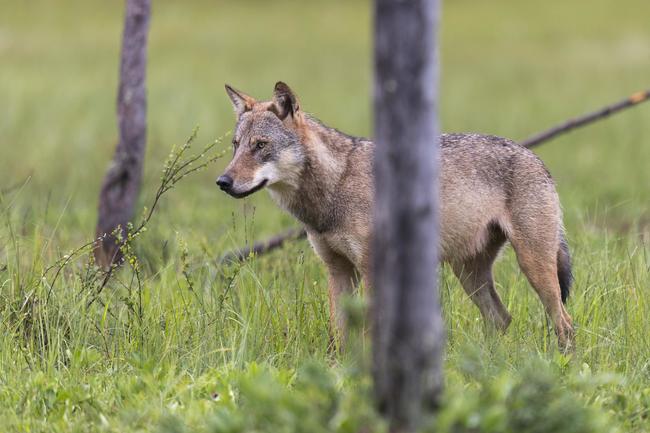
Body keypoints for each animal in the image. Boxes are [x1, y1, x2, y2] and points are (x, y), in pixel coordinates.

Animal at [218, 82, 572, 352]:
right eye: (236, 146)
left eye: (260, 145)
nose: (223, 182)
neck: (336, 184)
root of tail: (536, 157)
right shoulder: (338, 272)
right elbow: (338, 335)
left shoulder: (373, 270)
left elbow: (370, 331)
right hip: (469, 275)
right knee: (502, 319)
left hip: (532, 266)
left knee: (564, 323)